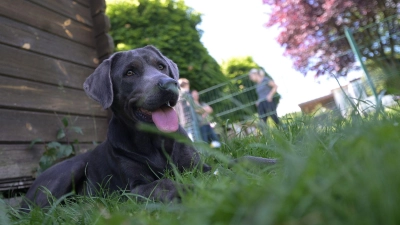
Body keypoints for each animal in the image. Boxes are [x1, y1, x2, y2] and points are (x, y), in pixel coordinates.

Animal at [21, 45, 211, 211]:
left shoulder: (197, 165)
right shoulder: (134, 189)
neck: (154, 140)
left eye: (161, 66)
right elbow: (163, 184)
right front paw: (187, 189)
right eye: (129, 72)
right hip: (71, 169)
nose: (170, 83)